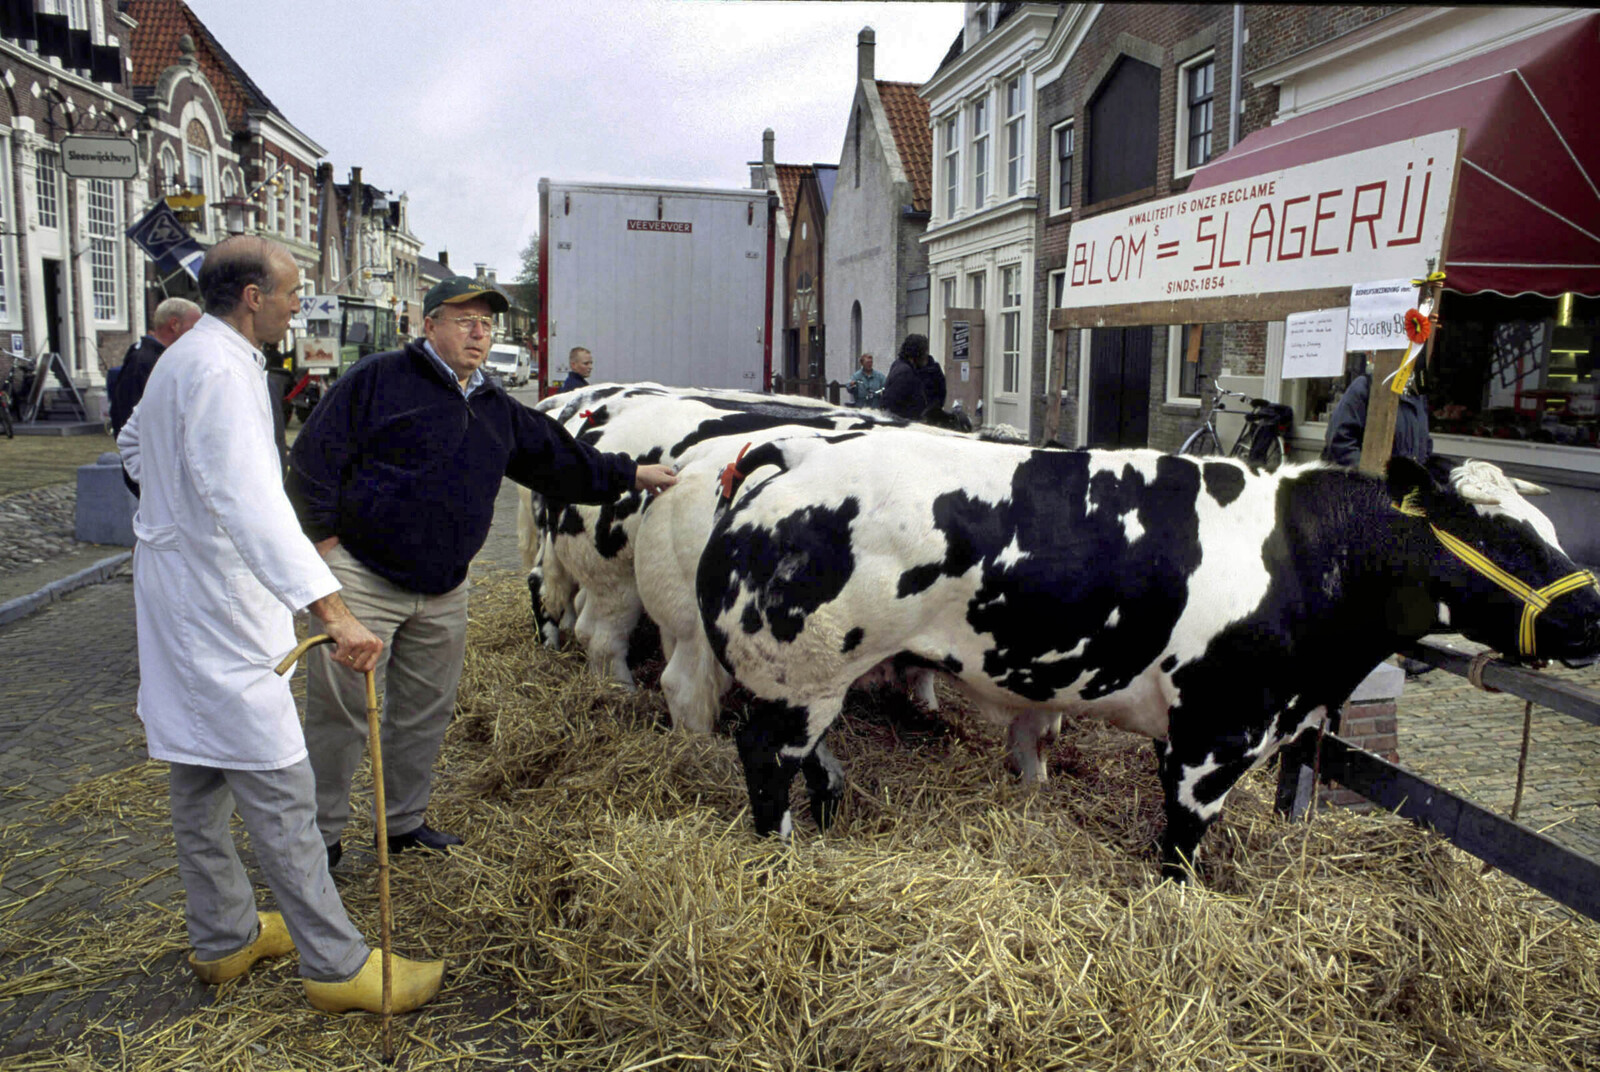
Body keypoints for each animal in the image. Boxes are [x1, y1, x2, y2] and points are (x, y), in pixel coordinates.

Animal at [700, 435, 1600, 883]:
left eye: (1544, 526)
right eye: (1498, 534)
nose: (1590, 612)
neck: (1307, 558)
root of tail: (801, 455)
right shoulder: (1217, 730)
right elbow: (1183, 838)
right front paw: (1180, 897)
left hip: (812, 679)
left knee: (807, 751)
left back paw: (830, 807)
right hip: (798, 674)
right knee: (763, 757)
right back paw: (780, 852)